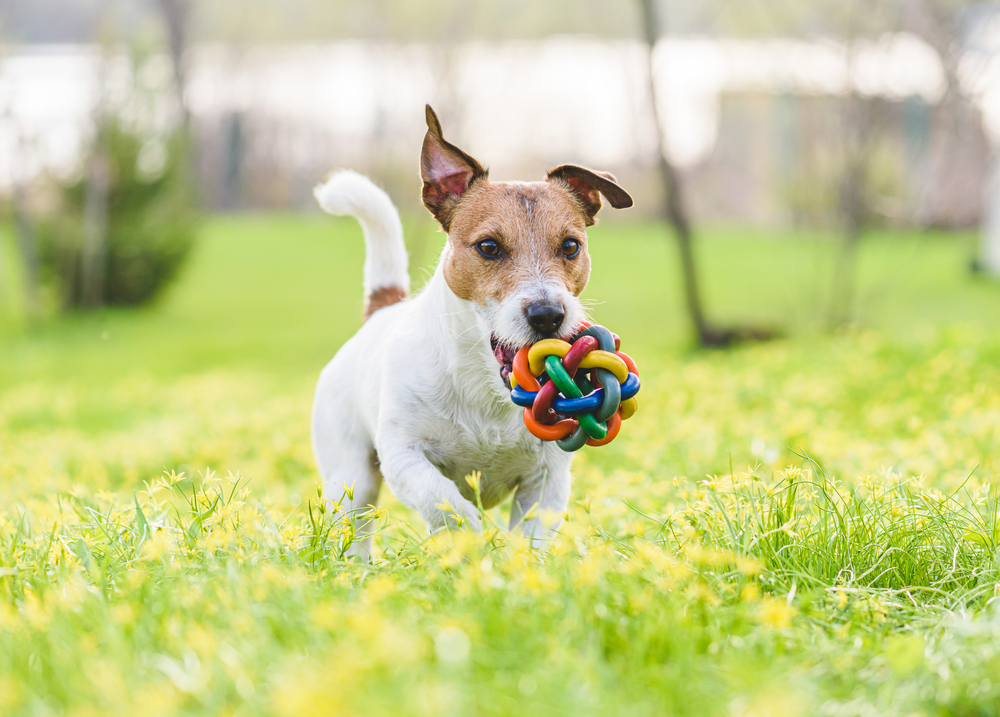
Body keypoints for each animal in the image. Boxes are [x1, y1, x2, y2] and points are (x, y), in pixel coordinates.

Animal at [312, 106, 628, 556]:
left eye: (571, 246)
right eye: (489, 247)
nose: (547, 315)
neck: (486, 389)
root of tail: (381, 311)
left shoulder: (547, 479)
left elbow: (531, 538)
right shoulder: (403, 455)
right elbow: (445, 502)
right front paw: (467, 542)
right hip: (350, 476)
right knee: (354, 522)